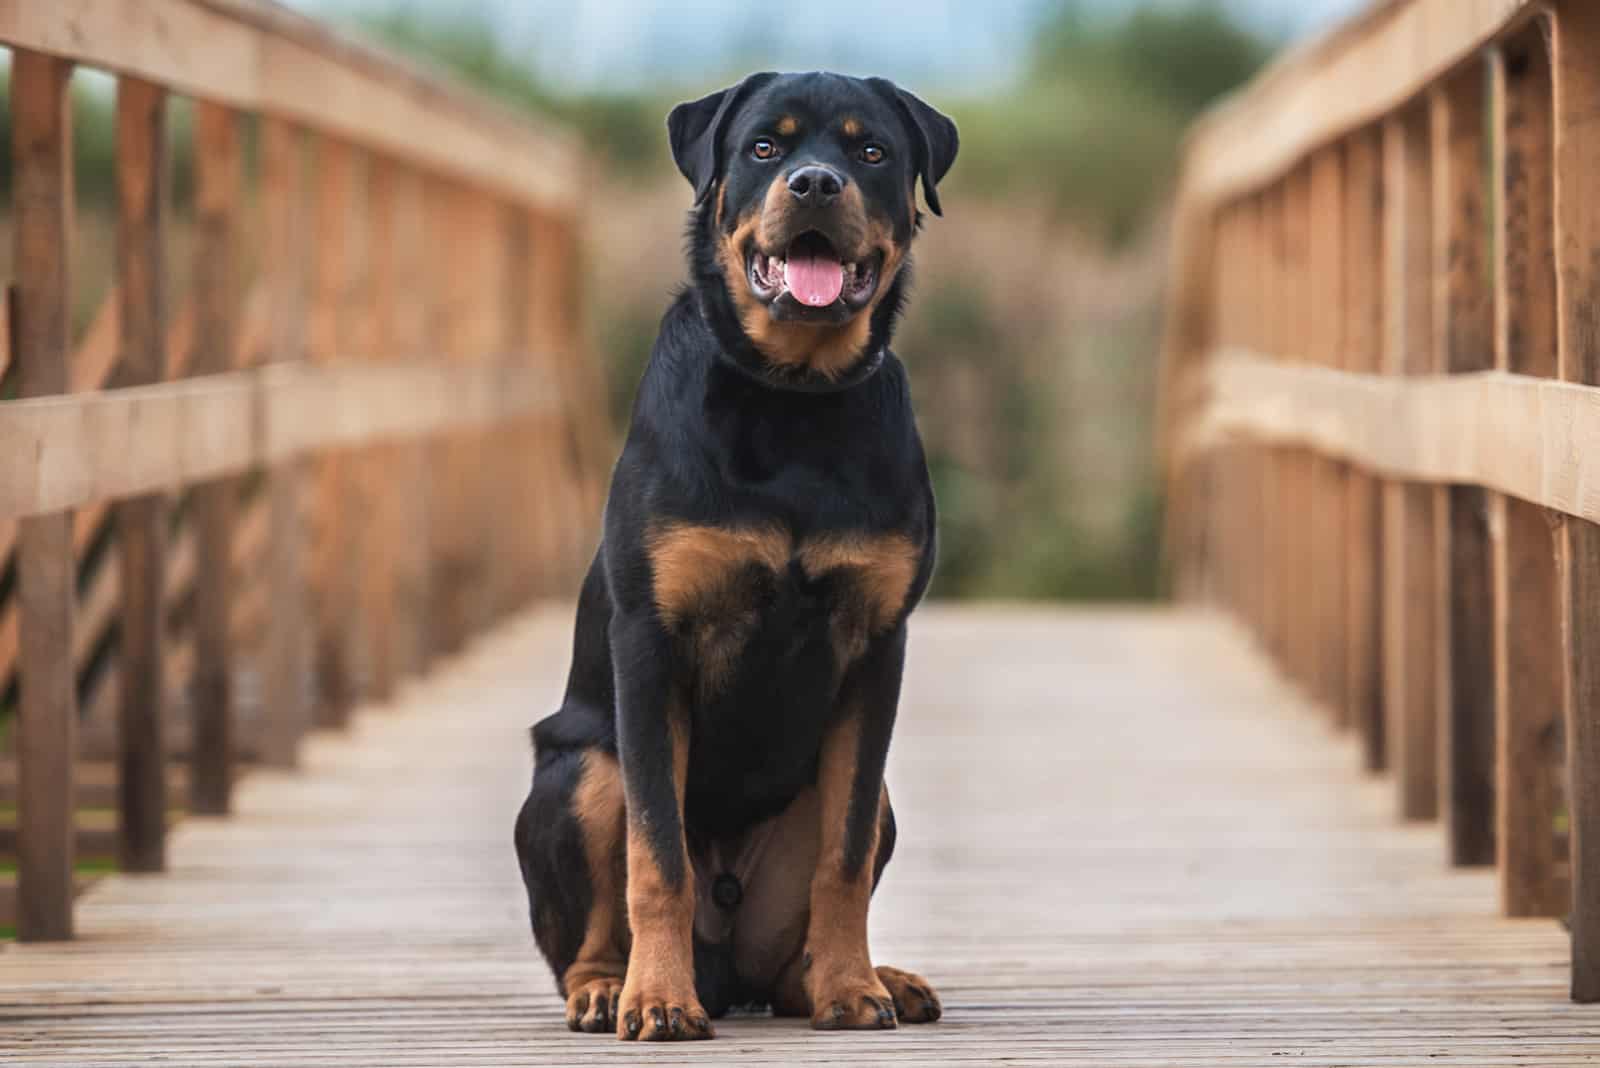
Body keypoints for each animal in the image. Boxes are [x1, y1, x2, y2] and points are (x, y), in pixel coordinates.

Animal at [518, 70, 953, 1036]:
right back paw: (608, 987)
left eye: (872, 151)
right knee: (590, 924)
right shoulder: (650, 644)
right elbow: (657, 857)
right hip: (579, 770)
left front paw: (852, 987)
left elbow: (843, 857)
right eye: (764, 146)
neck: (792, 396)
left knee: (802, 936)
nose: (816, 184)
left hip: (872, 806)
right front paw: (657, 1000)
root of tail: (734, 973)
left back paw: (864, 978)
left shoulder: (878, 648)